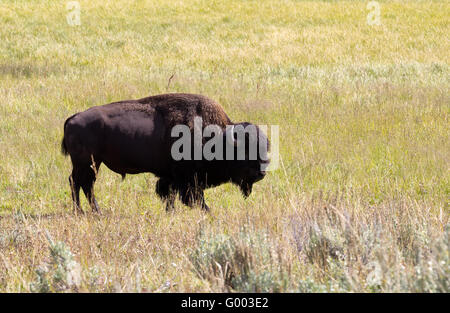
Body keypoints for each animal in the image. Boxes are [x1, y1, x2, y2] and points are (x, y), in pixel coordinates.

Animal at [61, 92, 268, 212]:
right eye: (246, 151)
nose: (262, 172)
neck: (218, 138)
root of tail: (72, 118)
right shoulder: (188, 179)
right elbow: (193, 198)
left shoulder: (171, 178)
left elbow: (168, 195)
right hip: (88, 163)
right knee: (81, 183)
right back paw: (86, 212)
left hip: (89, 163)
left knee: (80, 183)